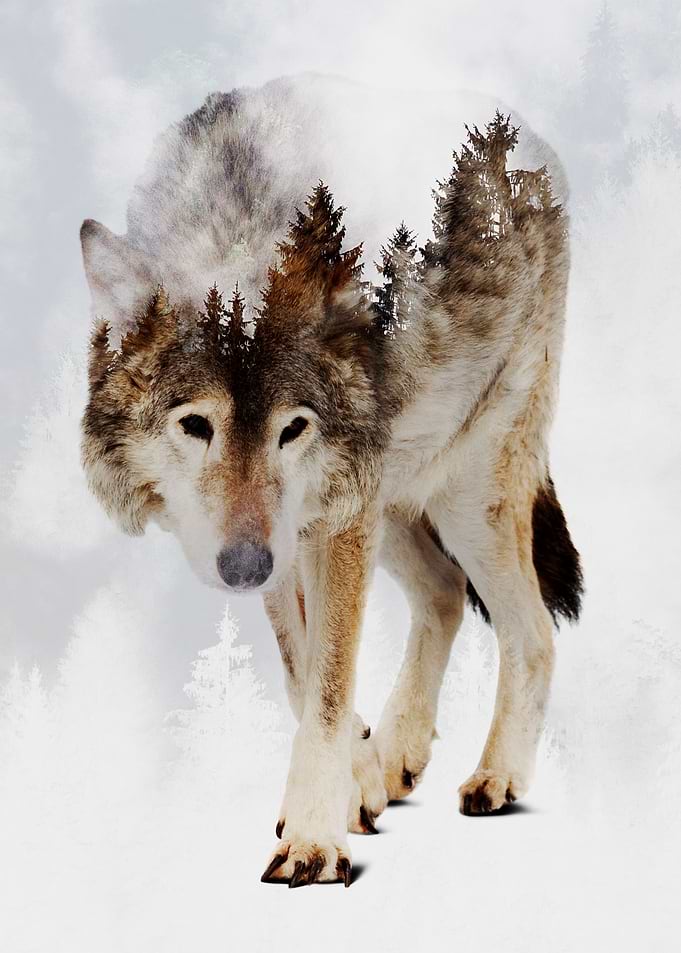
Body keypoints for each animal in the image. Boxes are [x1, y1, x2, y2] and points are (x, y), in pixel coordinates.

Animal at [79, 77, 582, 888]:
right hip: (394, 497)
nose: (241, 566)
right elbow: (302, 675)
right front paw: (358, 784)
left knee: (531, 628)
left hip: (460, 493)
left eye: (293, 429)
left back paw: (496, 777)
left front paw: (314, 840)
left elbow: (326, 682)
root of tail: (527, 138)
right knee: (444, 593)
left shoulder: (328, 523)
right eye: (195, 425)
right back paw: (397, 756)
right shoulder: (295, 540)